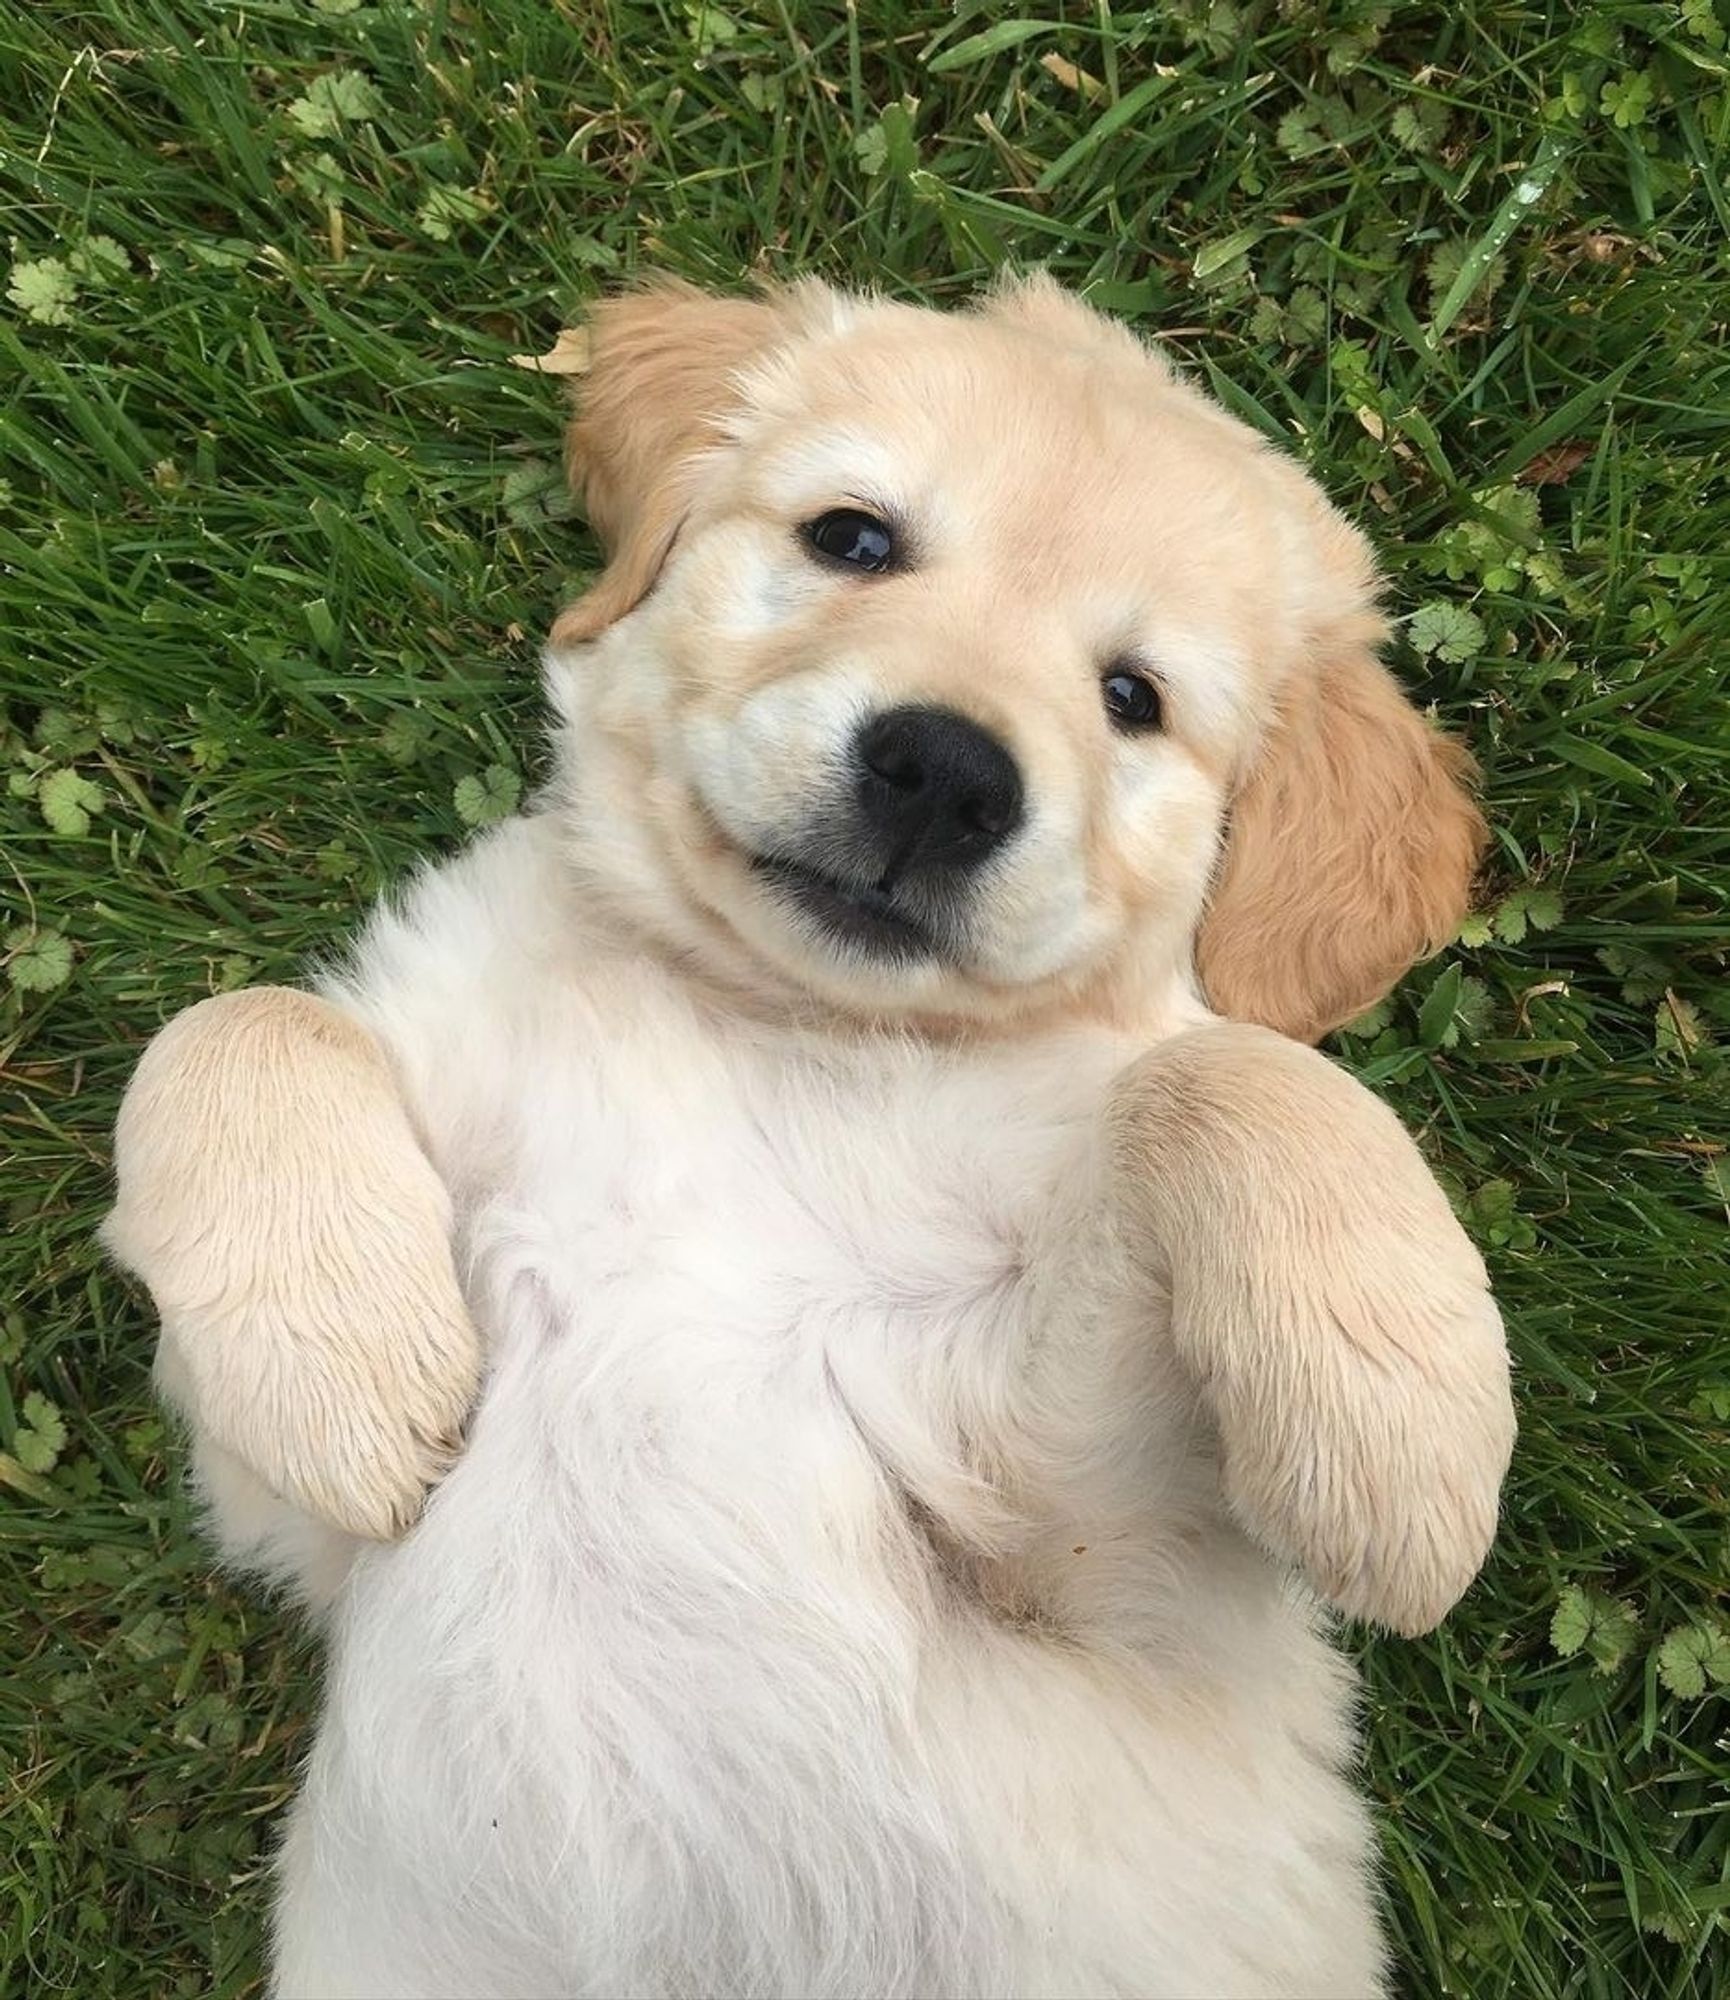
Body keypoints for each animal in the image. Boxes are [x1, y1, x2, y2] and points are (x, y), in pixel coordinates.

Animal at [108, 270, 1512, 2000]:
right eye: (853, 538)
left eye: (1133, 700)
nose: (945, 773)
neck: (775, 1026)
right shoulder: (280, 1528)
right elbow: (225, 1025)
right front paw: (340, 1366)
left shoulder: (1099, 1539)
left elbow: (1227, 1078)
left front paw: (1403, 1443)